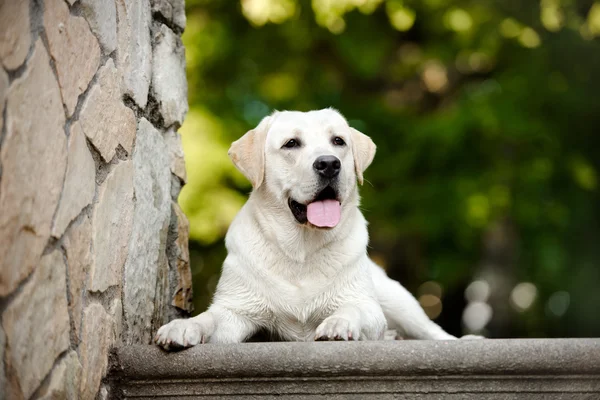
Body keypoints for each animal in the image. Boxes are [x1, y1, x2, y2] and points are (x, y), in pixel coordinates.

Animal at [157, 108, 476, 348]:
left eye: (338, 141)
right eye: (291, 143)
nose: (329, 164)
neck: (301, 249)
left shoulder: (366, 305)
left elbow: (352, 309)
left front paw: (338, 323)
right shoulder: (236, 310)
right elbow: (209, 318)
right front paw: (182, 327)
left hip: (397, 299)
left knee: (432, 331)